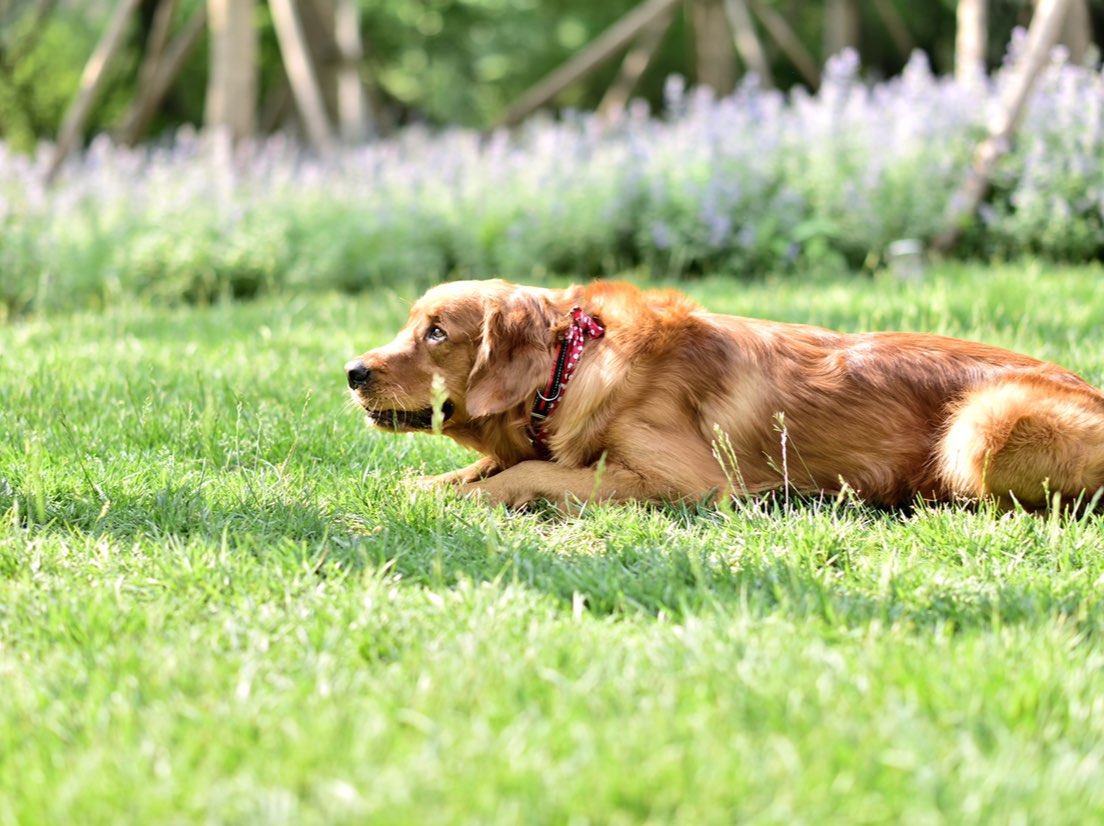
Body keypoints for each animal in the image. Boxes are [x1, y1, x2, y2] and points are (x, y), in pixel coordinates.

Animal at [344, 280, 1104, 505]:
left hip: (983, 424)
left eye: (436, 333)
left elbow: (532, 472)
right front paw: (432, 484)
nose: (352, 371)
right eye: (410, 324)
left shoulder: (686, 481)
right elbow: (487, 464)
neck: (573, 362)